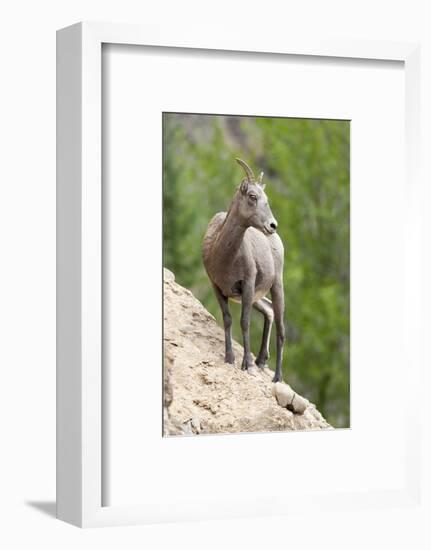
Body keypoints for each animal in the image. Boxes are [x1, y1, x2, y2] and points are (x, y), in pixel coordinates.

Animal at [203, 158, 286, 384]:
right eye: (252, 196)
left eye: (266, 198)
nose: (272, 225)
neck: (224, 256)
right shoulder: (217, 287)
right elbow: (228, 319)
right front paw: (230, 358)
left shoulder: (247, 284)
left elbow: (244, 322)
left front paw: (246, 365)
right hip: (257, 296)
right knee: (268, 311)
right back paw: (261, 360)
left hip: (276, 287)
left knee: (281, 329)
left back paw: (276, 377)